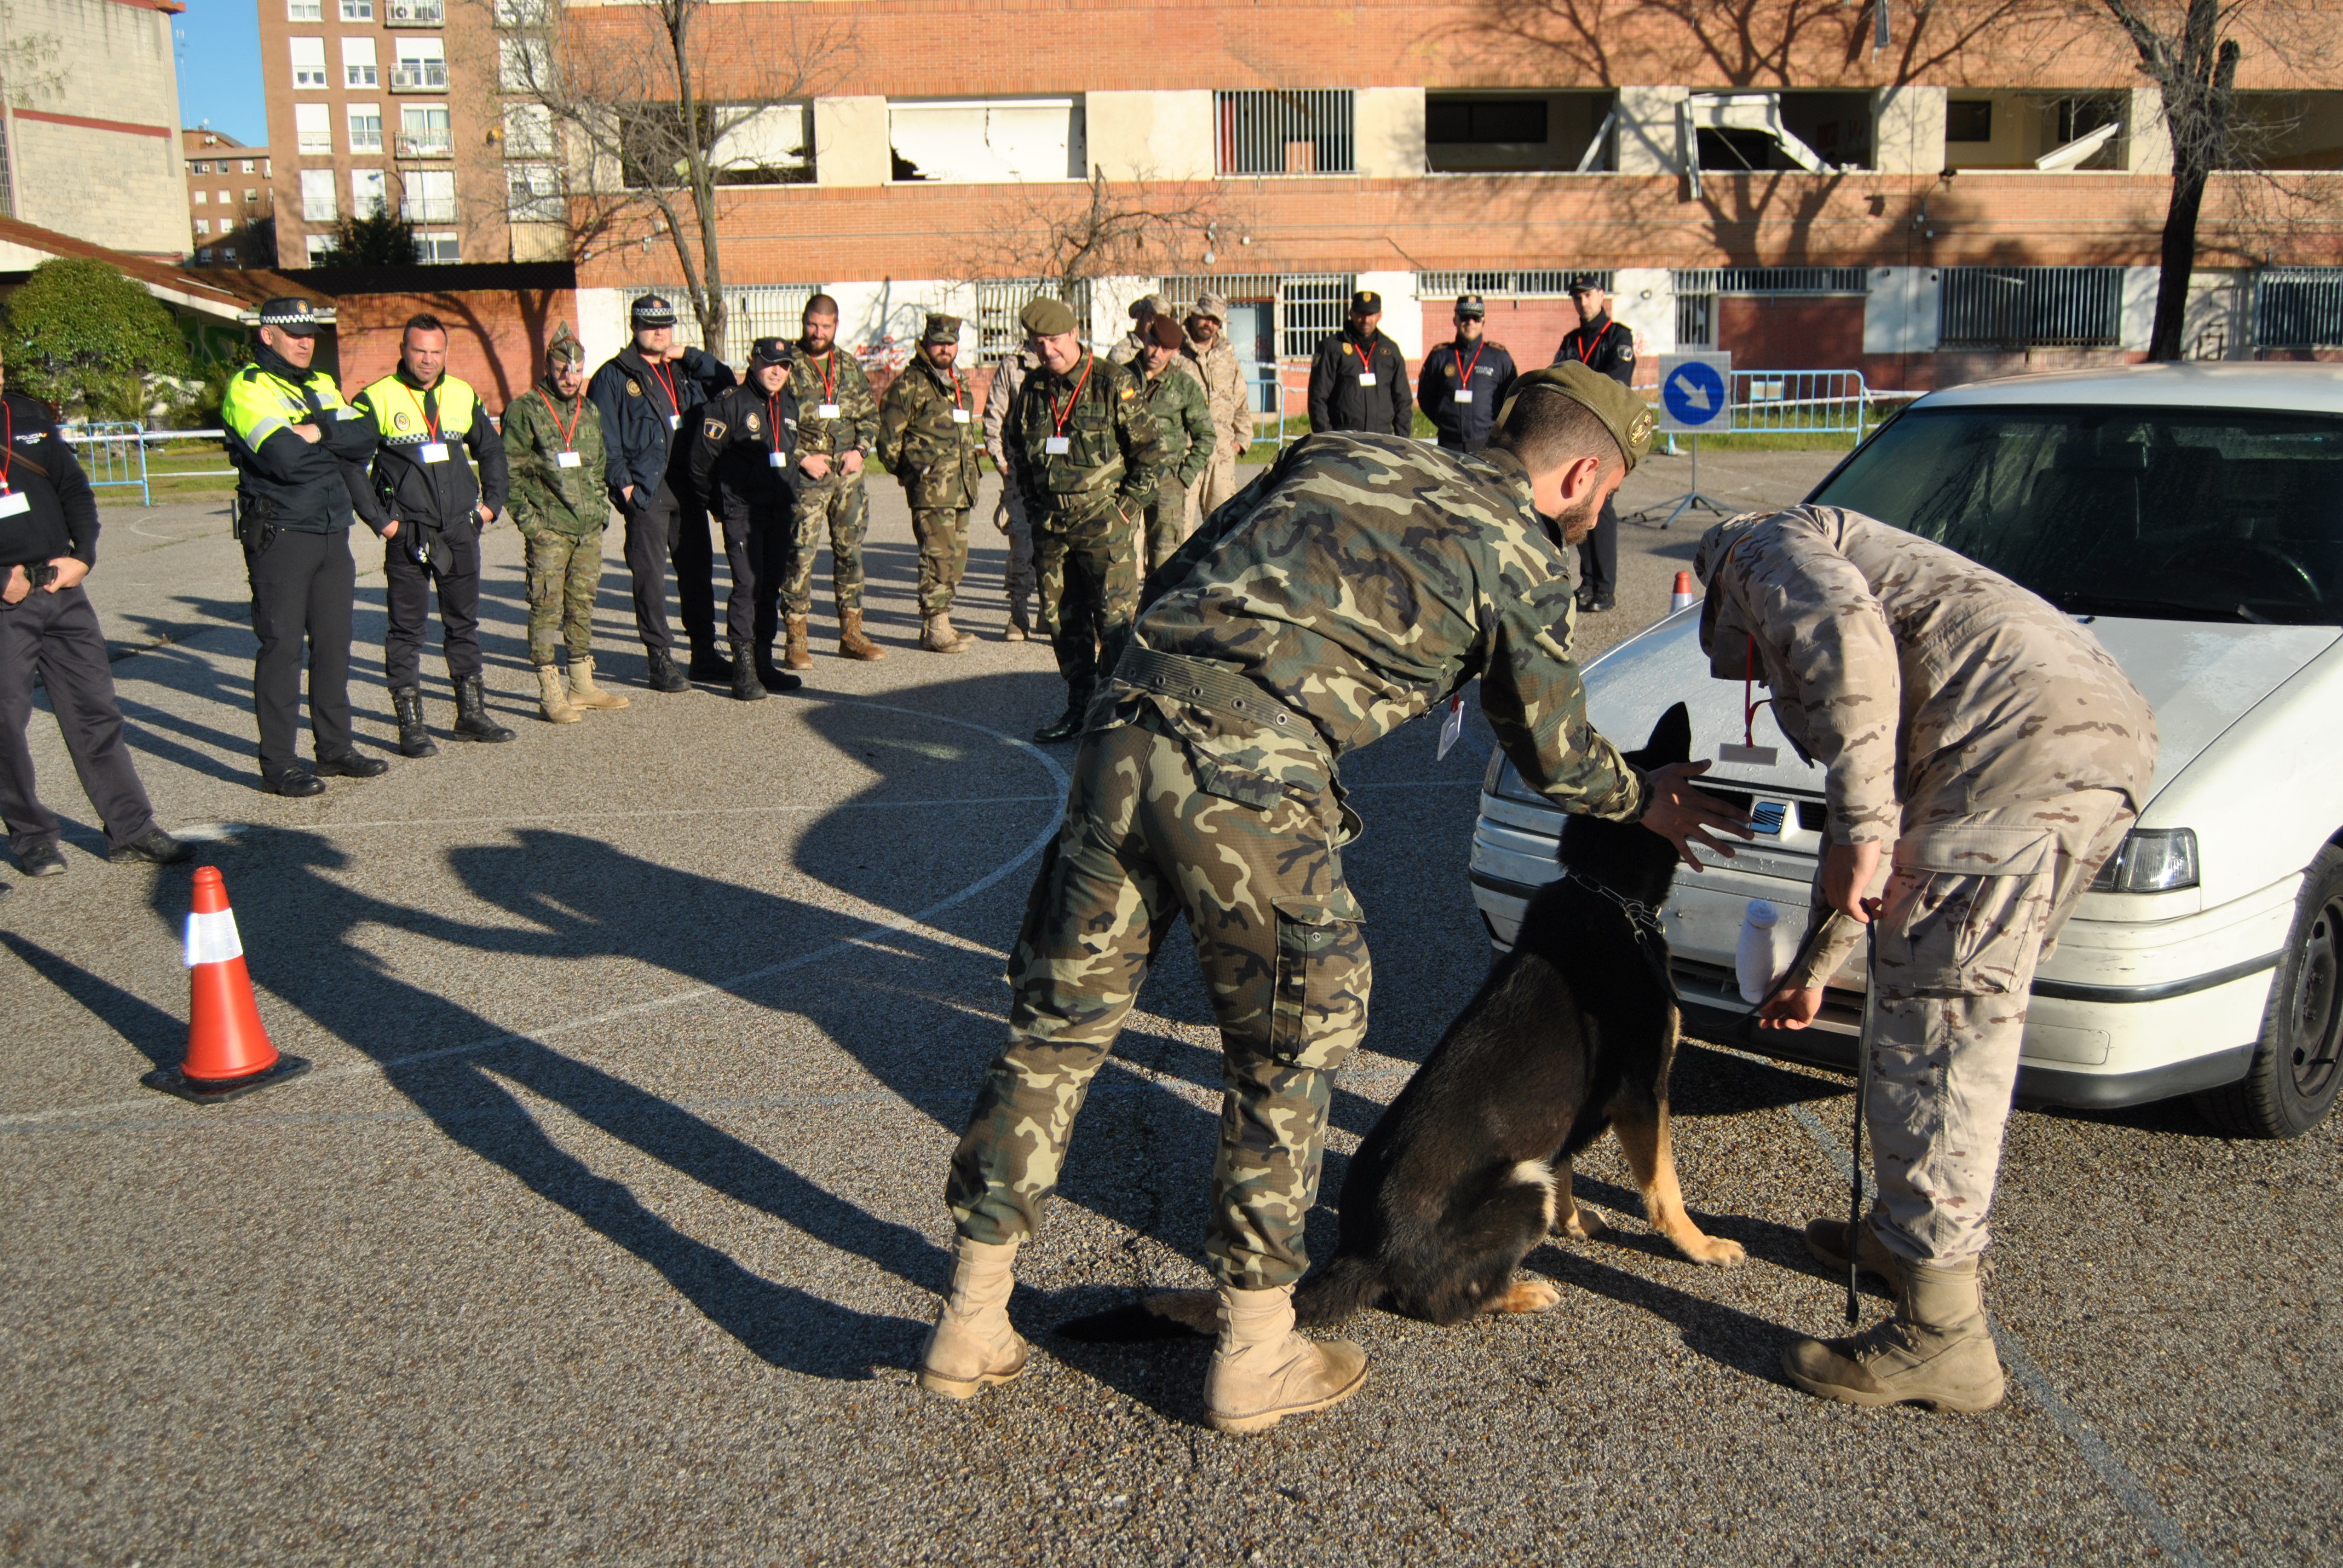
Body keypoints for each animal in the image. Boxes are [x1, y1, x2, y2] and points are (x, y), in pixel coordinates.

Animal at [1061, 702, 1743, 1344]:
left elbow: (1570, 1169)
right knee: (1439, 1301)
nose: (1749, 802)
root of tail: (1368, 1252)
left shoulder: (1574, 1119)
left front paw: (1576, 1223)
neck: (1605, 887)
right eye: (1695, 782)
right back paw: (1518, 1292)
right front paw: (1699, 1246)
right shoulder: (1643, 1092)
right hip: (1521, 1184)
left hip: (1527, 1176)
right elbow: (1664, 1188)